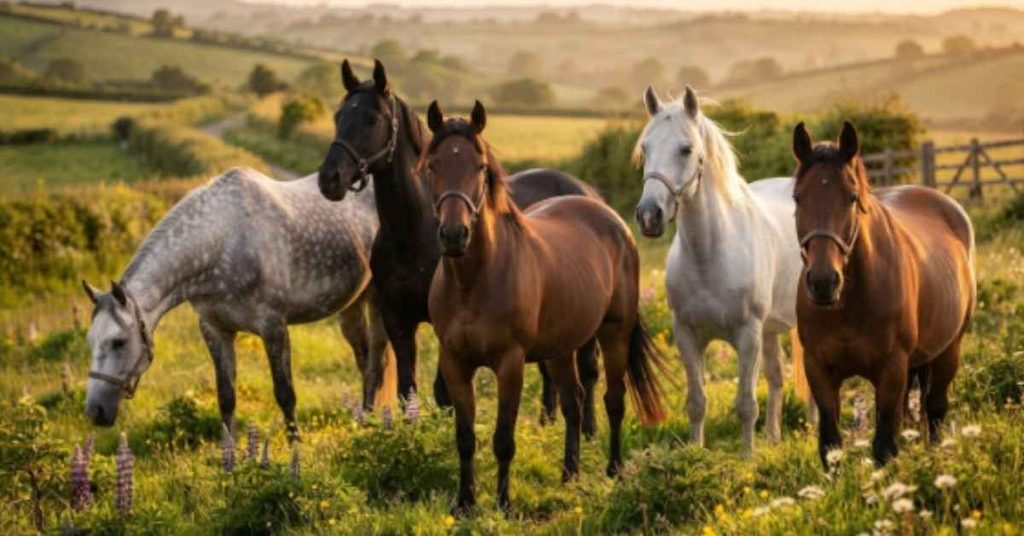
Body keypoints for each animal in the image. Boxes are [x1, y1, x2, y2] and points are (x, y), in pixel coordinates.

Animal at [82, 167, 392, 441]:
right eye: (90, 341)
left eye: (119, 342)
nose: (95, 412)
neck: (223, 241)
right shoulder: (215, 330)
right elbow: (226, 398)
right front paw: (230, 461)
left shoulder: (273, 328)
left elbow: (285, 395)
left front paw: (295, 452)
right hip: (351, 305)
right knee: (364, 359)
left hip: (377, 299)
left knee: (377, 362)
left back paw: (371, 425)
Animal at [316, 59, 600, 431]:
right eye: (338, 116)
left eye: (372, 118)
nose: (329, 179)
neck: (412, 235)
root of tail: (586, 191)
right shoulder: (398, 320)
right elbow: (408, 389)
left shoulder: (444, 328)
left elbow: (443, 395)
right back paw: (546, 421)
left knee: (589, 366)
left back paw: (588, 429)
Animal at [424, 100, 667, 515]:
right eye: (433, 165)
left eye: (480, 166)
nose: (455, 235)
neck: (474, 283)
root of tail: (609, 216)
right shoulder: (454, 362)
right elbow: (465, 437)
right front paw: (464, 503)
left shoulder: (510, 363)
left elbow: (503, 439)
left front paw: (503, 504)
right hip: (561, 348)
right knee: (574, 401)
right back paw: (570, 473)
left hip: (614, 334)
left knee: (613, 400)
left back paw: (614, 469)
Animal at [633, 86, 802, 454]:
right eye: (646, 148)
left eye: (686, 149)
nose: (649, 215)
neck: (710, 255)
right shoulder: (686, 334)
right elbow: (697, 402)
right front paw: (695, 454)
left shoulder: (748, 335)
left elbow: (746, 404)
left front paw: (747, 457)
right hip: (771, 330)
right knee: (777, 377)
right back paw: (773, 437)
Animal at [791, 121, 975, 467]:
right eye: (797, 198)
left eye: (851, 197)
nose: (823, 282)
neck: (849, 302)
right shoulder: (819, 370)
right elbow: (831, 445)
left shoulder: (891, 369)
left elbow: (885, 447)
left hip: (949, 349)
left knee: (935, 410)